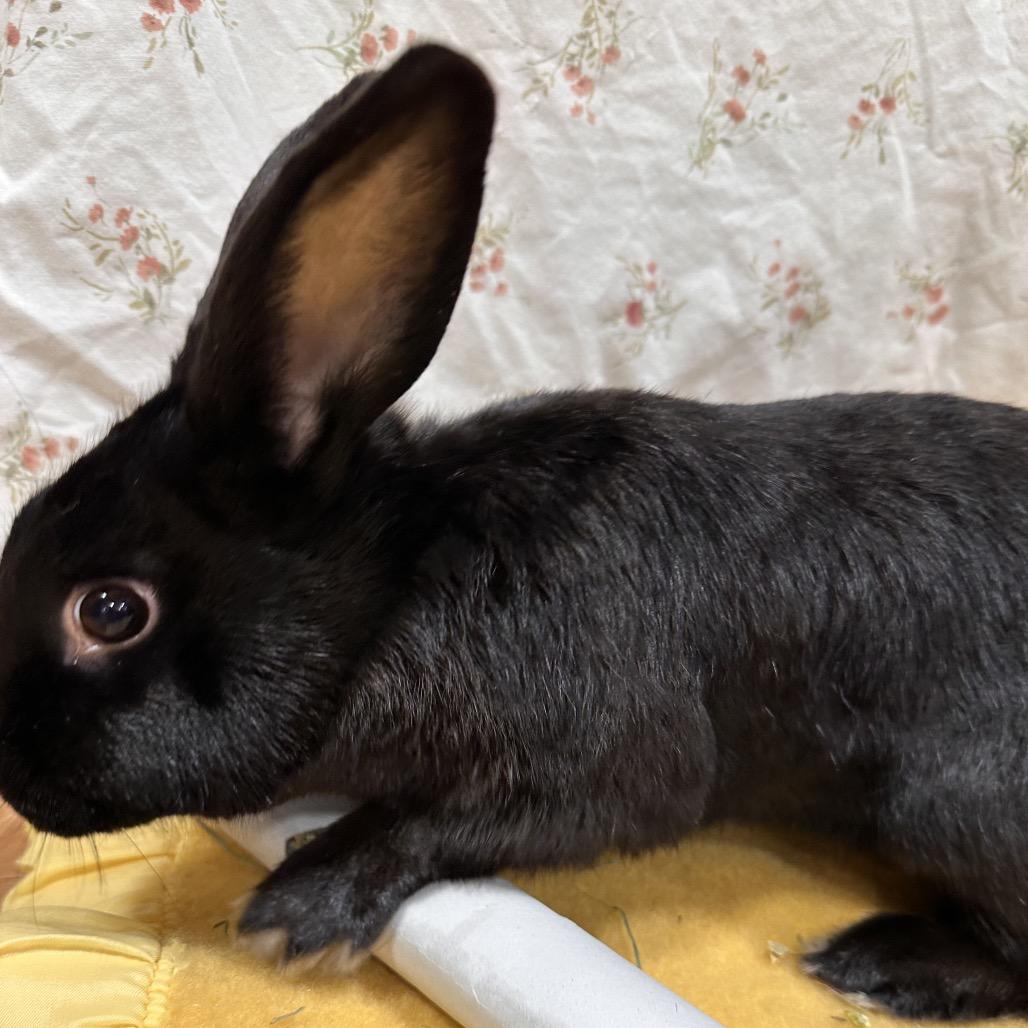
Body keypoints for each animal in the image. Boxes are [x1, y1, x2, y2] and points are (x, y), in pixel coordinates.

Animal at [1, 42, 1028, 1021]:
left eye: (109, 610)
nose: (13, 786)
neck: (398, 586)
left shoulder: (608, 762)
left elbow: (459, 822)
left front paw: (302, 906)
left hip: (944, 802)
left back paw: (885, 965)